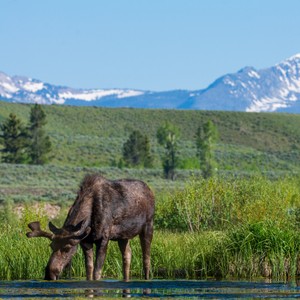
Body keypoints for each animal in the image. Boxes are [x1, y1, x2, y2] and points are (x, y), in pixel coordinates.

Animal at [25, 173, 155, 282]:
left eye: (67, 248)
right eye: (51, 246)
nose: (49, 274)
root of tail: (150, 191)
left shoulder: (103, 239)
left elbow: (97, 272)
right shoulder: (86, 241)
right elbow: (89, 269)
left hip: (148, 225)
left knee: (146, 259)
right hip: (123, 236)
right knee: (127, 255)